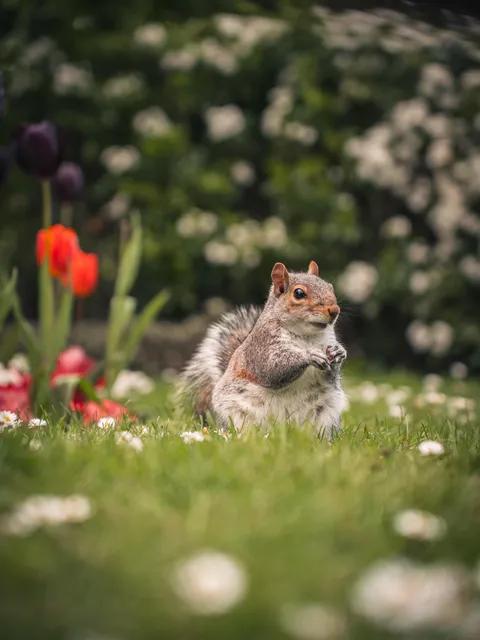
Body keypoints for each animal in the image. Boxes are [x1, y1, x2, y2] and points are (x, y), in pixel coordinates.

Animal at [178, 261, 347, 437]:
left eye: (330, 287)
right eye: (299, 293)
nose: (334, 310)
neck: (307, 336)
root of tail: (284, 429)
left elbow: (330, 376)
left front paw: (339, 352)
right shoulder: (260, 348)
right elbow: (271, 368)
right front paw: (309, 355)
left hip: (327, 412)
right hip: (235, 412)